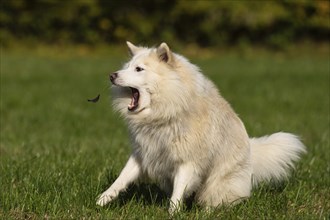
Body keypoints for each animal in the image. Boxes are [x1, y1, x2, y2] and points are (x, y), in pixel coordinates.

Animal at [96, 41, 306, 213]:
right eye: (127, 67)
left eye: (139, 69)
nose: (111, 76)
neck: (168, 110)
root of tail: (251, 152)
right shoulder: (143, 154)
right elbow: (121, 179)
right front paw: (102, 200)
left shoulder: (188, 162)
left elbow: (178, 193)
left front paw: (172, 213)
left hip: (217, 185)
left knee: (216, 201)